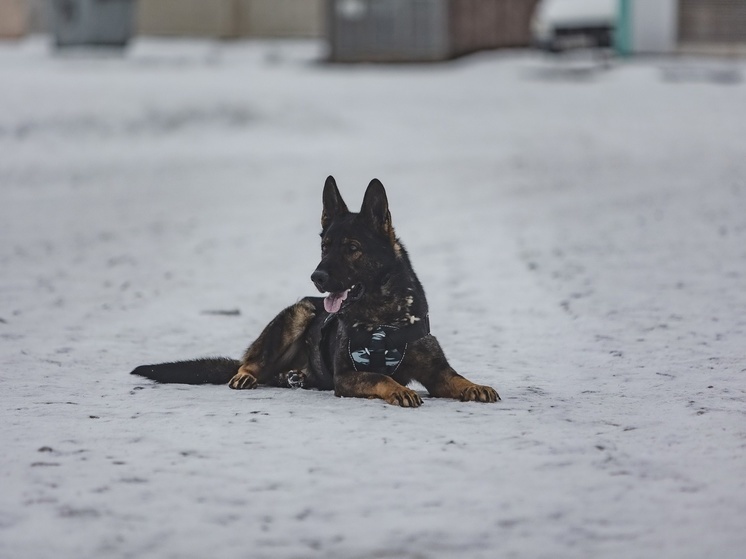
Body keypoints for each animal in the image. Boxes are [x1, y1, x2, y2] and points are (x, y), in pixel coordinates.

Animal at [131, 177, 496, 410]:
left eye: (352, 248)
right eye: (325, 246)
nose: (316, 276)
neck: (383, 316)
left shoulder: (437, 373)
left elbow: (457, 377)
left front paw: (476, 386)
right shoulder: (347, 377)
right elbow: (379, 375)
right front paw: (397, 390)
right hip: (299, 312)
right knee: (250, 362)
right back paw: (246, 375)